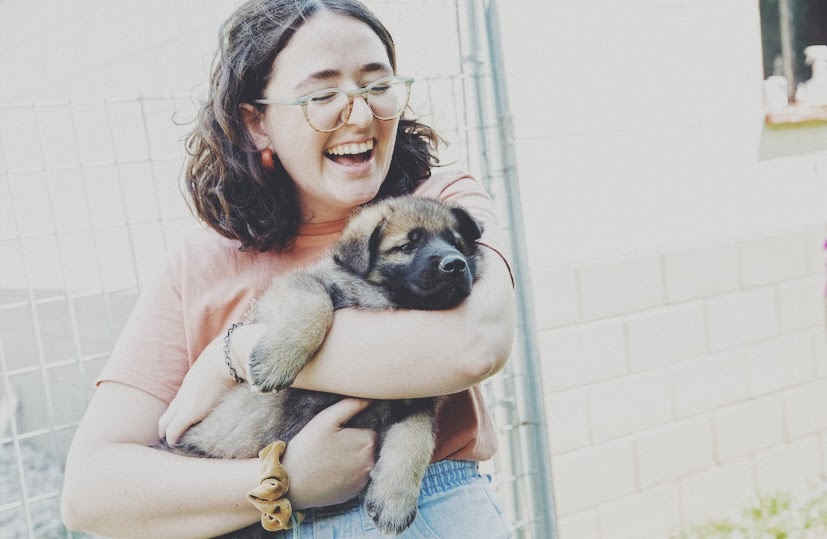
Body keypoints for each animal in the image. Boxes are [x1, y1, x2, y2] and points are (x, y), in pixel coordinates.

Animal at [163, 197, 486, 536]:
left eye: (457, 243)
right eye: (407, 247)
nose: (455, 264)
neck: (382, 300)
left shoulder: (416, 403)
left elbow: (415, 442)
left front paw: (394, 501)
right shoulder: (297, 286)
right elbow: (314, 303)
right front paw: (277, 361)